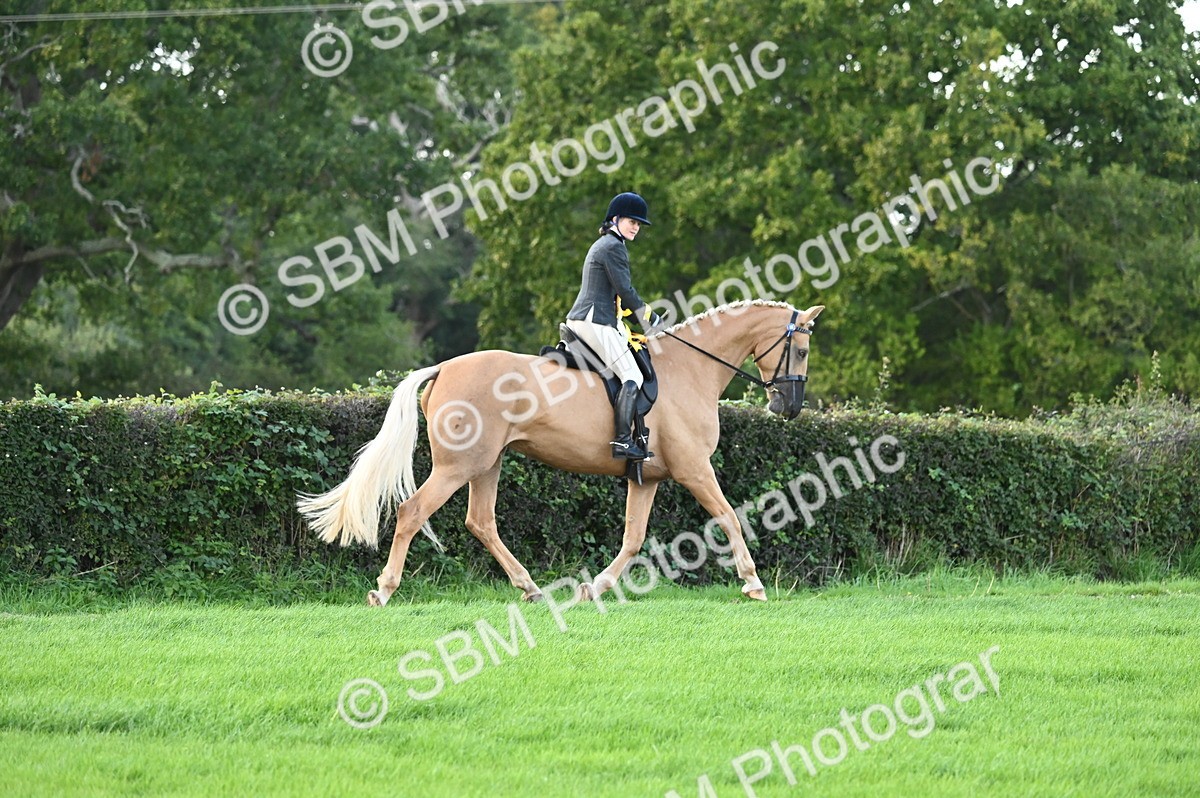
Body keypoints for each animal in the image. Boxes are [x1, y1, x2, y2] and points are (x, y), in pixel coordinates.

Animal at [297, 299, 825, 606]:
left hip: (486, 464)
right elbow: (730, 516)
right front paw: (753, 583)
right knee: (411, 512)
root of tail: (445, 366)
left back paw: (530, 588)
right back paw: (384, 590)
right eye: (800, 351)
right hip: (457, 467)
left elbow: (633, 538)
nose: (788, 407)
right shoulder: (695, 469)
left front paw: (598, 587)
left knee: (481, 521)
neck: (690, 368)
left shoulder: (648, 478)